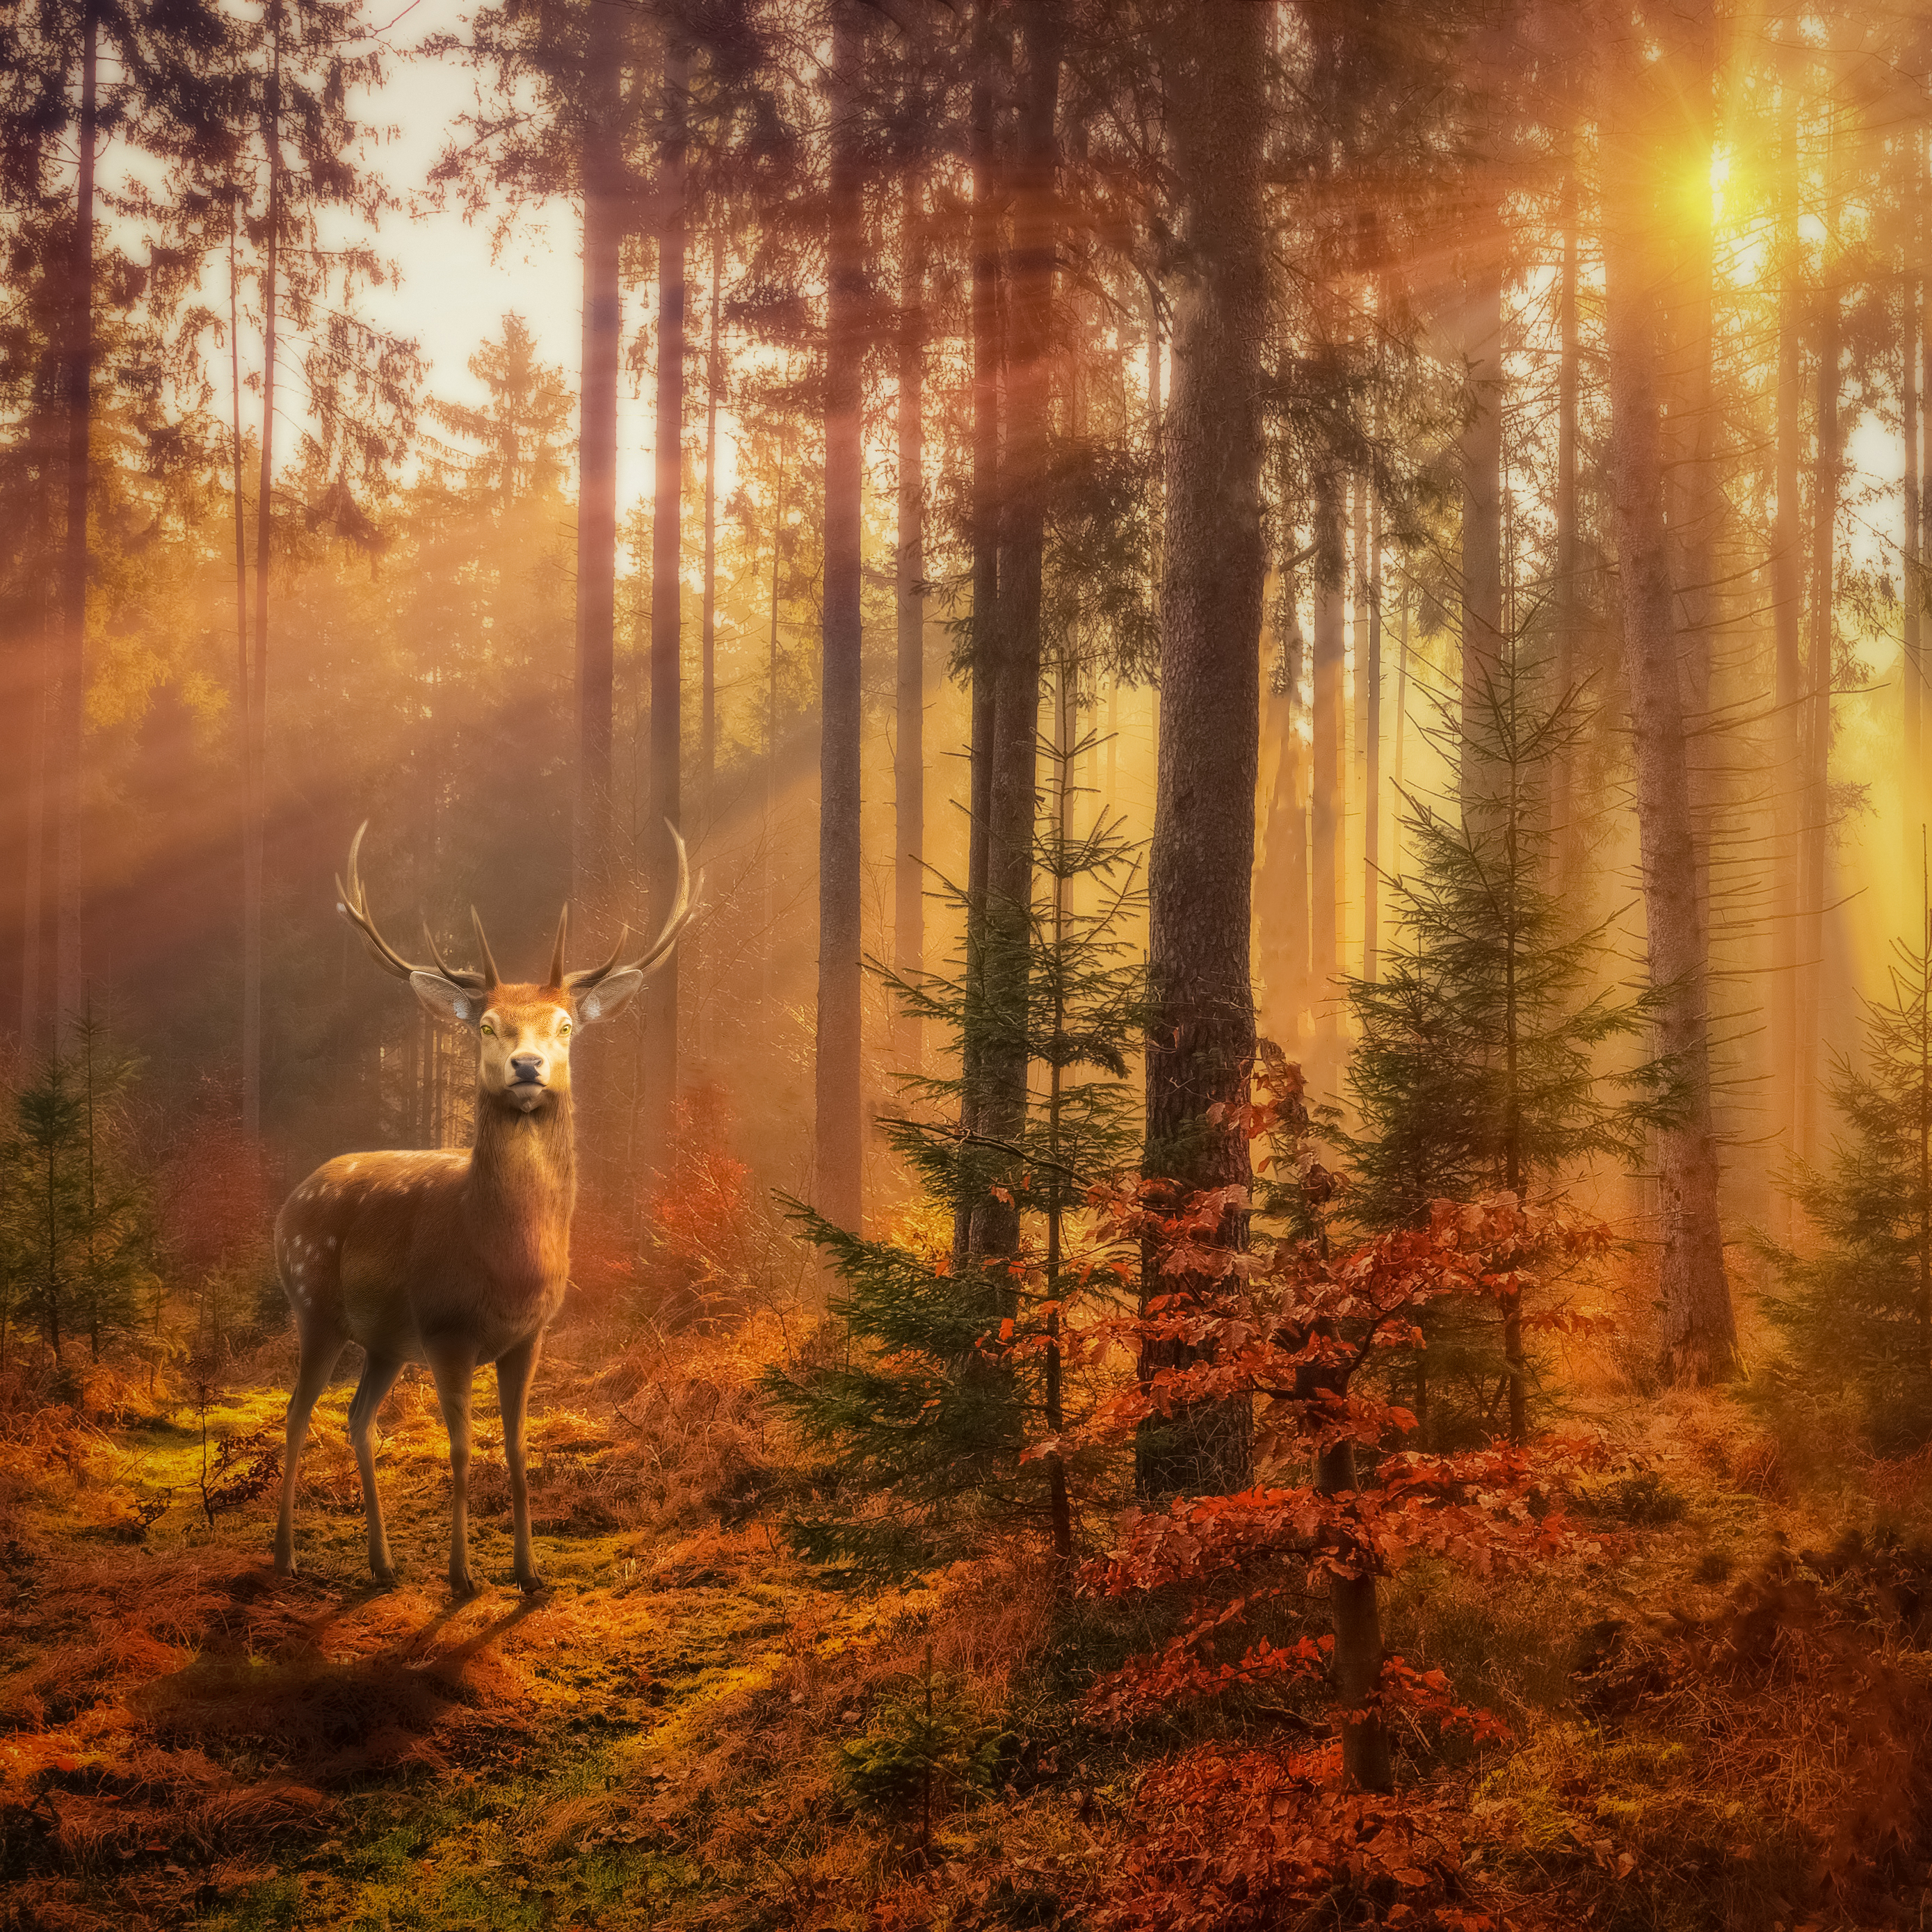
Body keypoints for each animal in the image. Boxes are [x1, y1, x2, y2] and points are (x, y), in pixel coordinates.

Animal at [271, 823, 693, 1598]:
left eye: (565, 1025)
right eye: (489, 1027)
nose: (528, 1066)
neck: (508, 1262)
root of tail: (290, 1202)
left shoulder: (529, 1335)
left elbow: (520, 1451)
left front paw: (529, 1574)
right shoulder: (446, 1326)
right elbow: (463, 1450)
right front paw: (463, 1576)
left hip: (383, 1342)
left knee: (357, 1420)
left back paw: (383, 1563)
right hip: (314, 1303)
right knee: (297, 1415)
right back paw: (285, 1556)